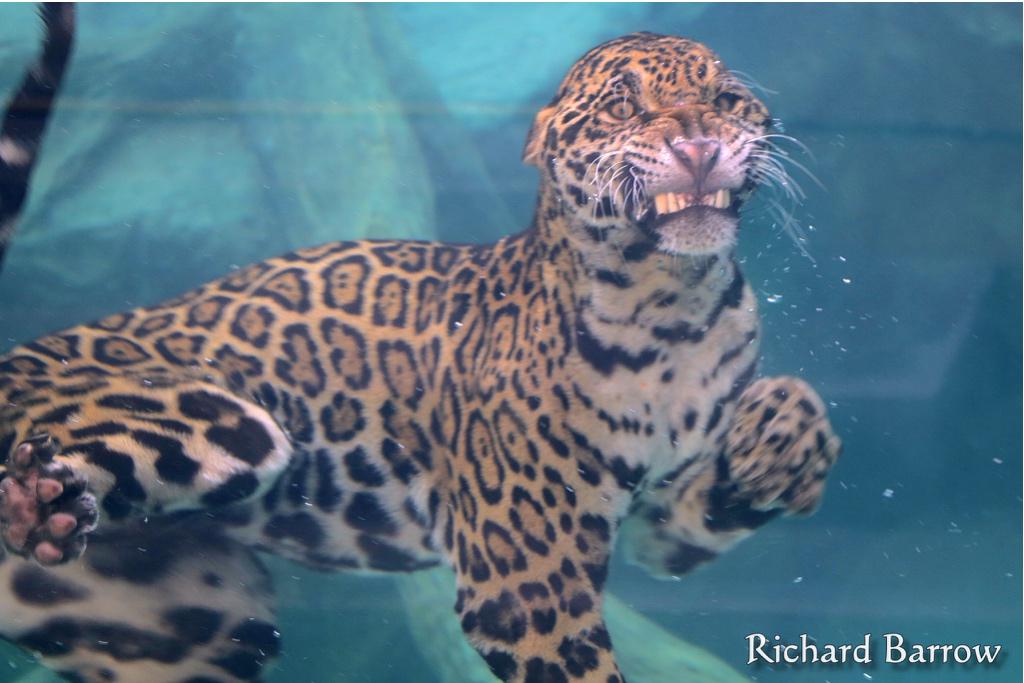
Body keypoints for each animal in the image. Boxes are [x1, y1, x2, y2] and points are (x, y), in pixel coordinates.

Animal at [0, 6, 841, 683]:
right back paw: (35, 500)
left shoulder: (661, 523)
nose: (699, 143)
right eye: (623, 105)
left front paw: (782, 433)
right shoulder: (526, 573)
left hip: (189, 623)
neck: (673, 304)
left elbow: (740, 464)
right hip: (217, 419)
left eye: (725, 99)